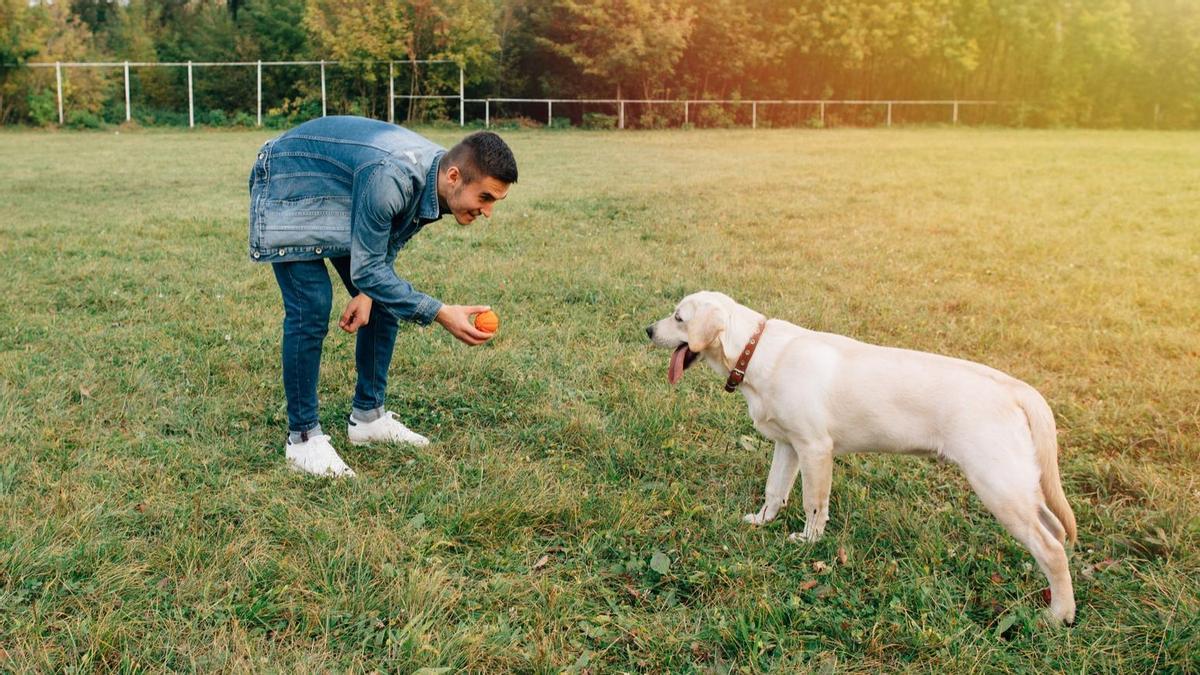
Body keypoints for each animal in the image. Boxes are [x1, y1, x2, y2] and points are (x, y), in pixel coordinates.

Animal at [648, 289, 1080, 619]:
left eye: (679, 318)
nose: (647, 329)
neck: (755, 352)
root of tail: (1015, 388)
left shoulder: (815, 449)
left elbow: (813, 503)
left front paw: (809, 542)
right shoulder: (787, 445)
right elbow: (775, 491)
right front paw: (762, 521)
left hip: (998, 485)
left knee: (1052, 548)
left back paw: (1059, 614)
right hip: (1019, 485)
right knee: (1054, 531)